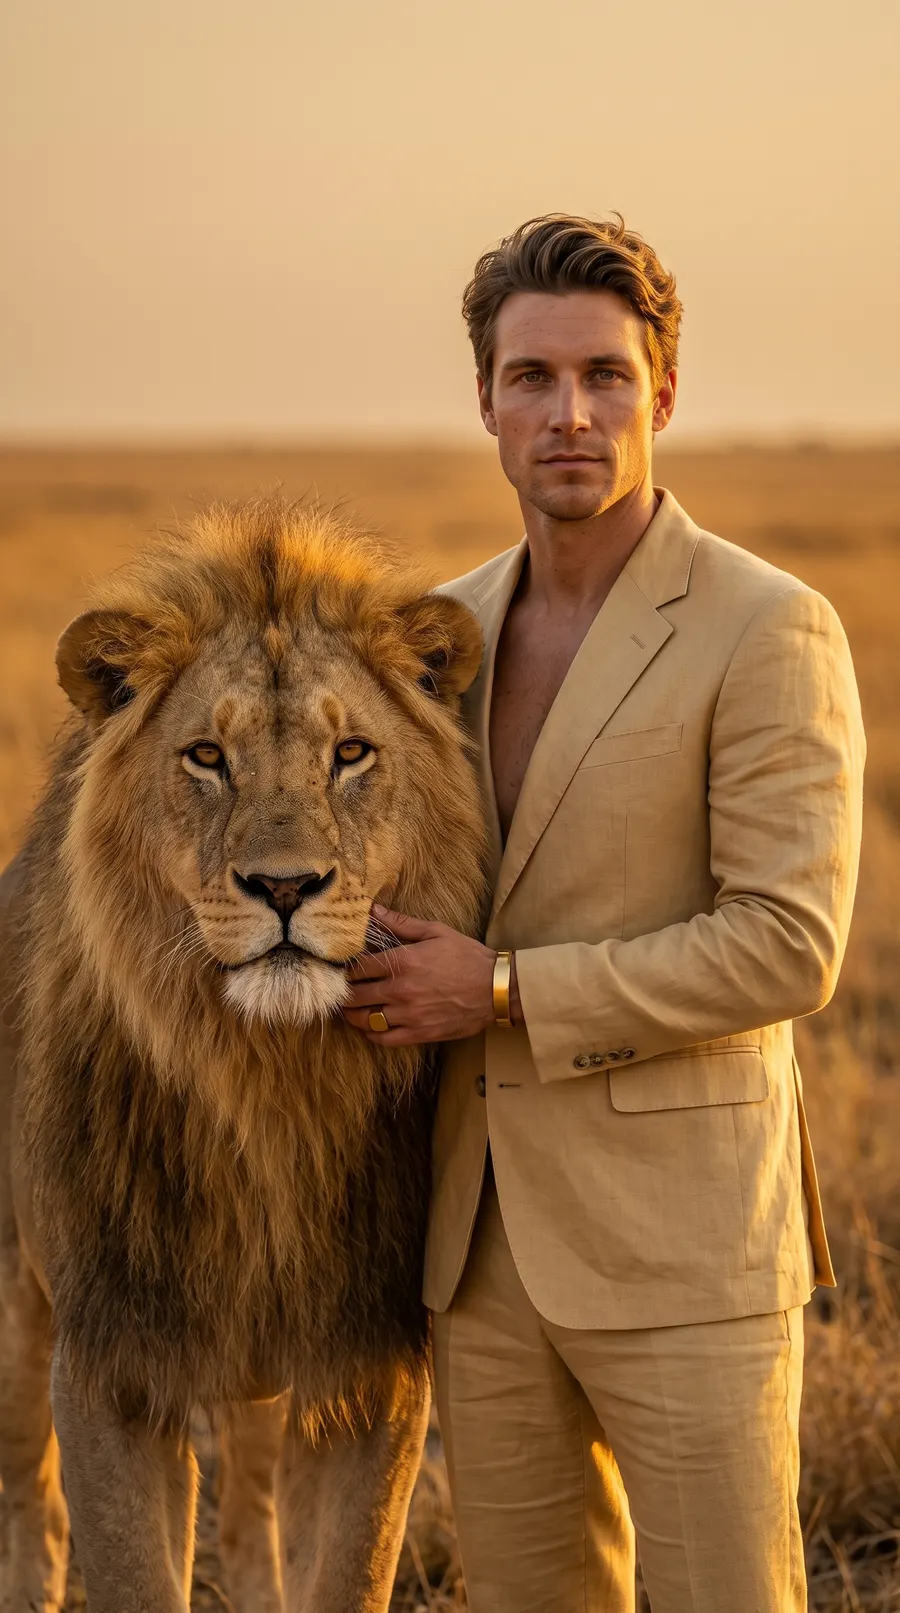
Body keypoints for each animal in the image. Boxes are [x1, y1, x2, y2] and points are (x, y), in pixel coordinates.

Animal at [0, 497, 486, 1613]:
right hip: (13, 1300)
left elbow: (348, 1569)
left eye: (350, 751)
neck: (268, 1086)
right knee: (25, 1483)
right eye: (205, 757)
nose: (285, 886)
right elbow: (131, 1568)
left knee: (252, 1497)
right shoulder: (112, 1361)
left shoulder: (370, 1354)